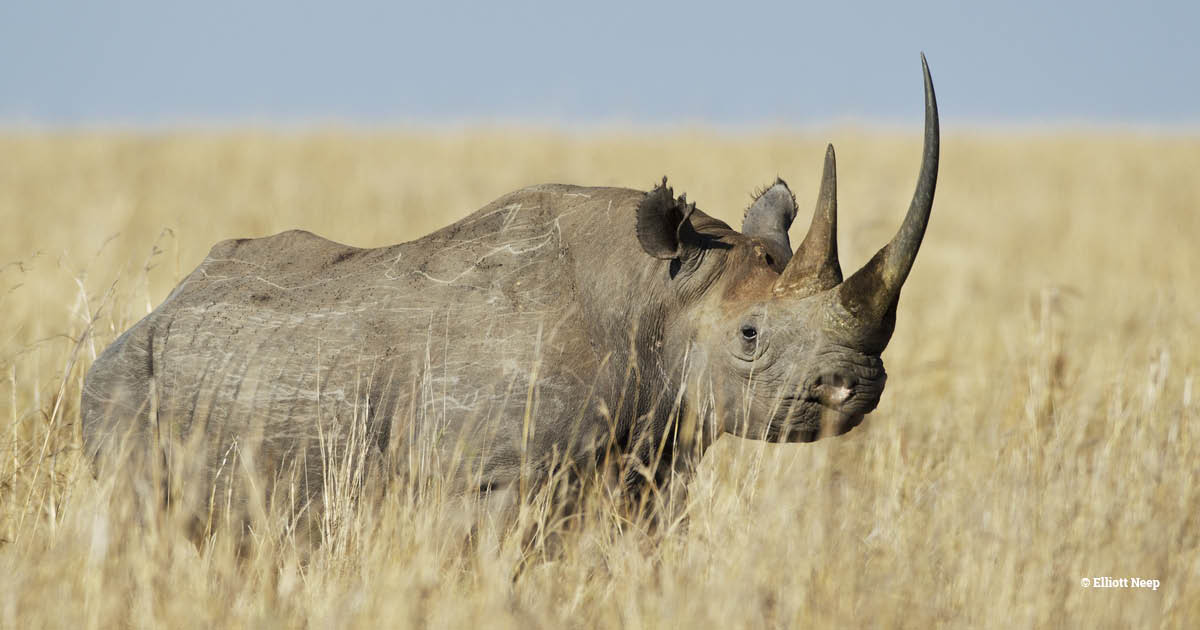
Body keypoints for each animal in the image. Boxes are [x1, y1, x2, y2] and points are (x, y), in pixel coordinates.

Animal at [82, 57, 939, 527]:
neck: (662, 293)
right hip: (127, 387)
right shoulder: (487, 472)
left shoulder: (650, 460)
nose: (856, 388)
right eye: (750, 337)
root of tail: (152, 316)